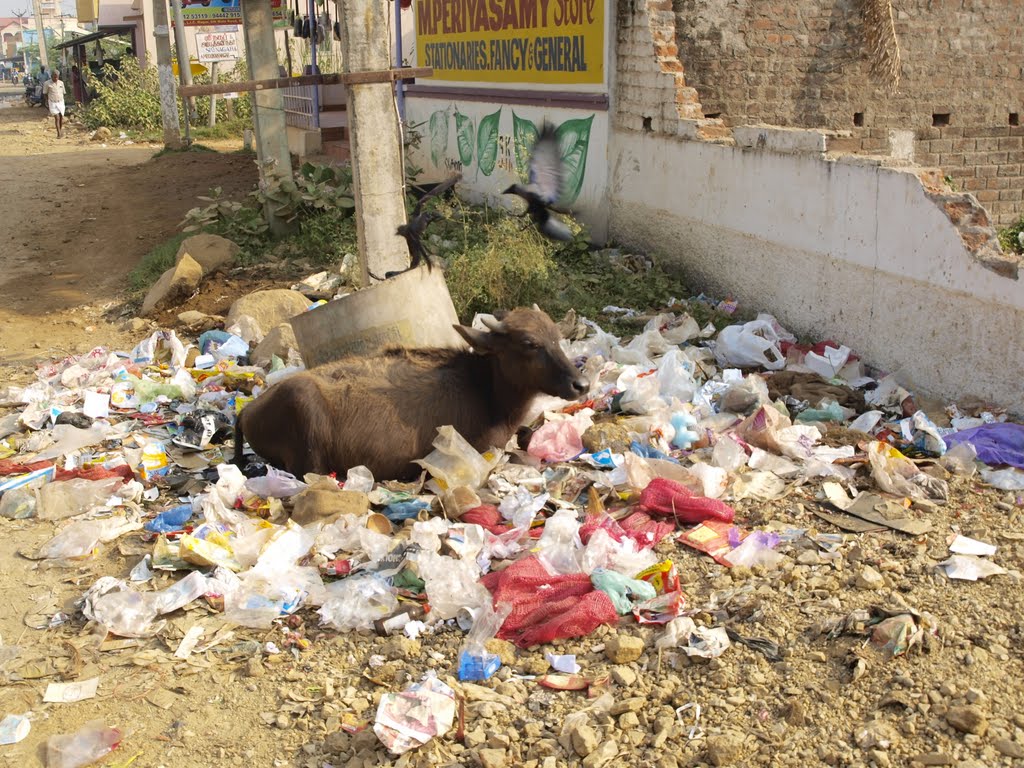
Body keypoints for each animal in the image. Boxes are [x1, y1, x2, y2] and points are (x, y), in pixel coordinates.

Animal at [232, 307, 585, 481]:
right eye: (529, 343)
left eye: (557, 336)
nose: (580, 384)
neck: (486, 392)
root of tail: (247, 411)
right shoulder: (481, 451)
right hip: (307, 439)